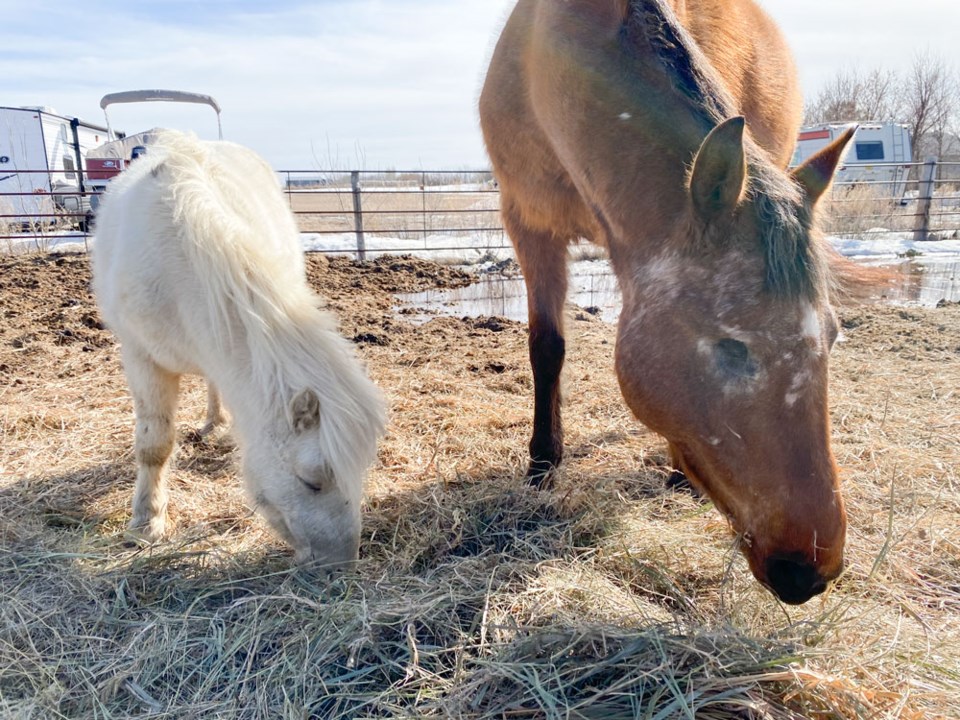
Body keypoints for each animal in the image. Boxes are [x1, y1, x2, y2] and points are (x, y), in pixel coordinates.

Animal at [480, 0, 856, 604]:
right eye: (731, 345)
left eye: (833, 335)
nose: (811, 569)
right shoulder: (528, 223)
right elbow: (547, 347)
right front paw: (542, 465)